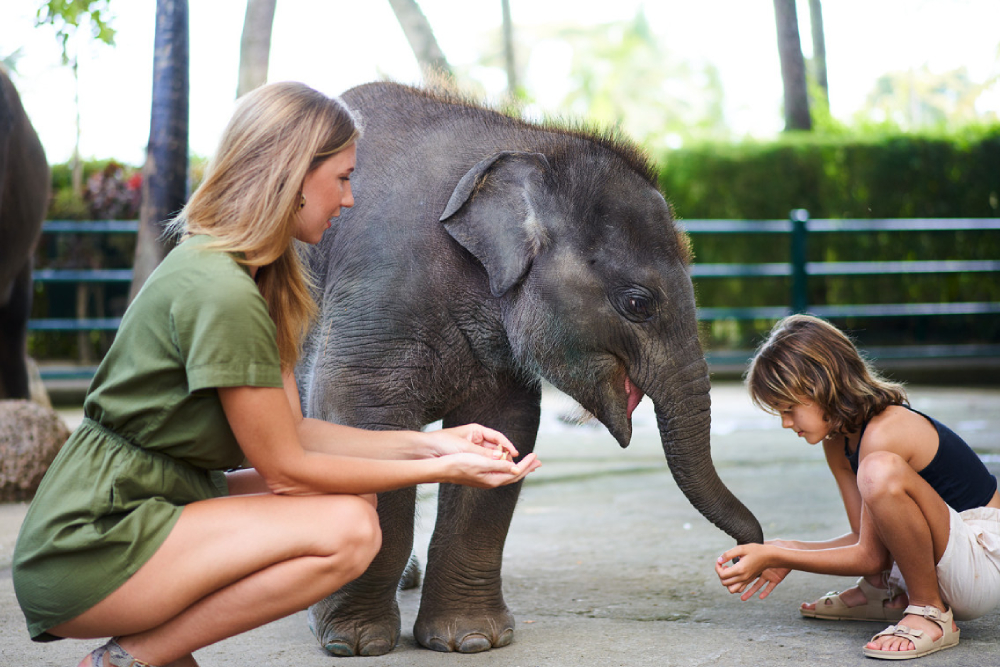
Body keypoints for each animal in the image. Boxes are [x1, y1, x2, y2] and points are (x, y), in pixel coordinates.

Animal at [296, 81, 764, 656]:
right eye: (638, 303)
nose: (741, 559)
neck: (532, 143)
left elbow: (505, 427)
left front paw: (472, 641)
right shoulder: (380, 286)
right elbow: (362, 423)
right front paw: (354, 643)